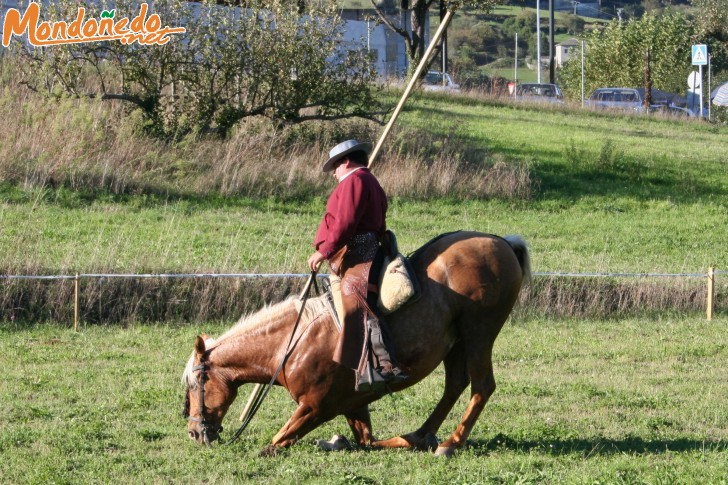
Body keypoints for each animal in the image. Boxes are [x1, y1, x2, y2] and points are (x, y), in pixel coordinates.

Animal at [181, 230, 528, 454]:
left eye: (197, 384)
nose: (195, 432)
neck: (291, 344)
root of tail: (503, 243)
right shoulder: (354, 404)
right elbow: (366, 440)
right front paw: (342, 441)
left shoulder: (315, 407)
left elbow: (276, 443)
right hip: (456, 342)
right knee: (455, 385)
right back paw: (420, 435)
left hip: (479, 332)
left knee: (481, 386)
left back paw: (449, 443)